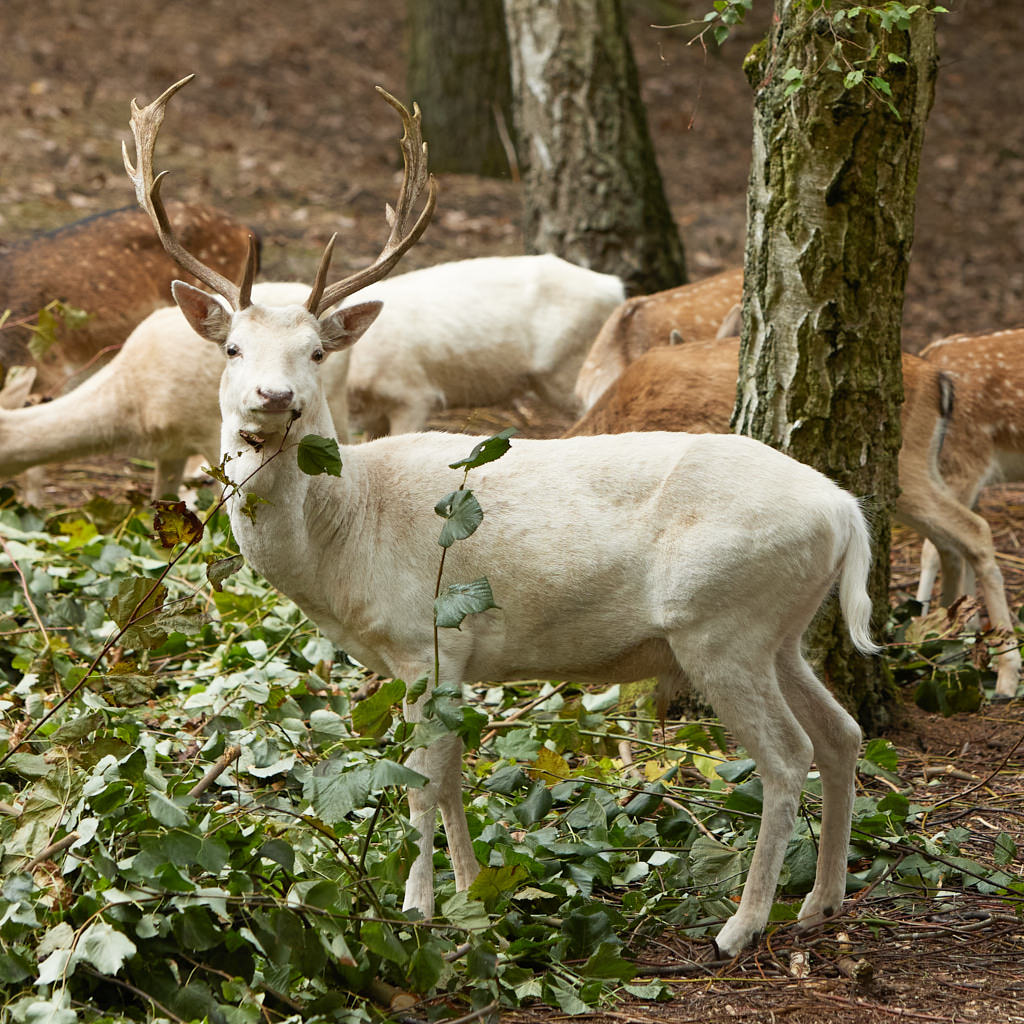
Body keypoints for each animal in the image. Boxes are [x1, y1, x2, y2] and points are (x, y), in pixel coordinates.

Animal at [123, 74, 880, 958]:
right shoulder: (433, 661)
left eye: (316, 351)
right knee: (842, 733)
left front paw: (415, 905)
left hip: (721, 619)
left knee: (788, 757)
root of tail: (844, 509)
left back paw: (741, 924)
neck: (342, 545)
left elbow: (421, 783)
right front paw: (469, 892)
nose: (274, 399)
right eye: (232, 349)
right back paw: (821, 901)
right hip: (780, 628)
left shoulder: (428, 638)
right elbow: (451, 781)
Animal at [569, 339, 1024, 700]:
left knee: (973, 529)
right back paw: (946, 645)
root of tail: (937, 380)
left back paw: (1004, 677)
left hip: (908, 468)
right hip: (923, 469)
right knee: (949, 542)